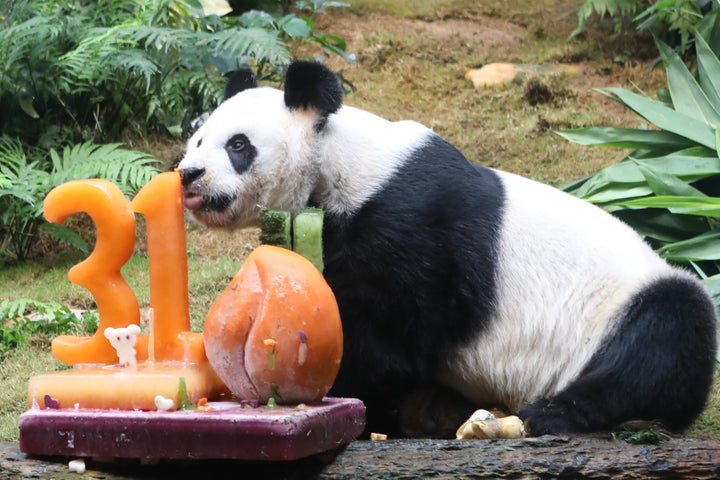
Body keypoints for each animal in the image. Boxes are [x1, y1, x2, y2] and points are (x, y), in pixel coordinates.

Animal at [177, 60, 716, 438]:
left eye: (238, 145)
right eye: (198, 139)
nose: (189, 175)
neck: (339, 163)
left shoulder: (410, 227)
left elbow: (386, 342)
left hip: (625, 302)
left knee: (662, 341)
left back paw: (551, 413)